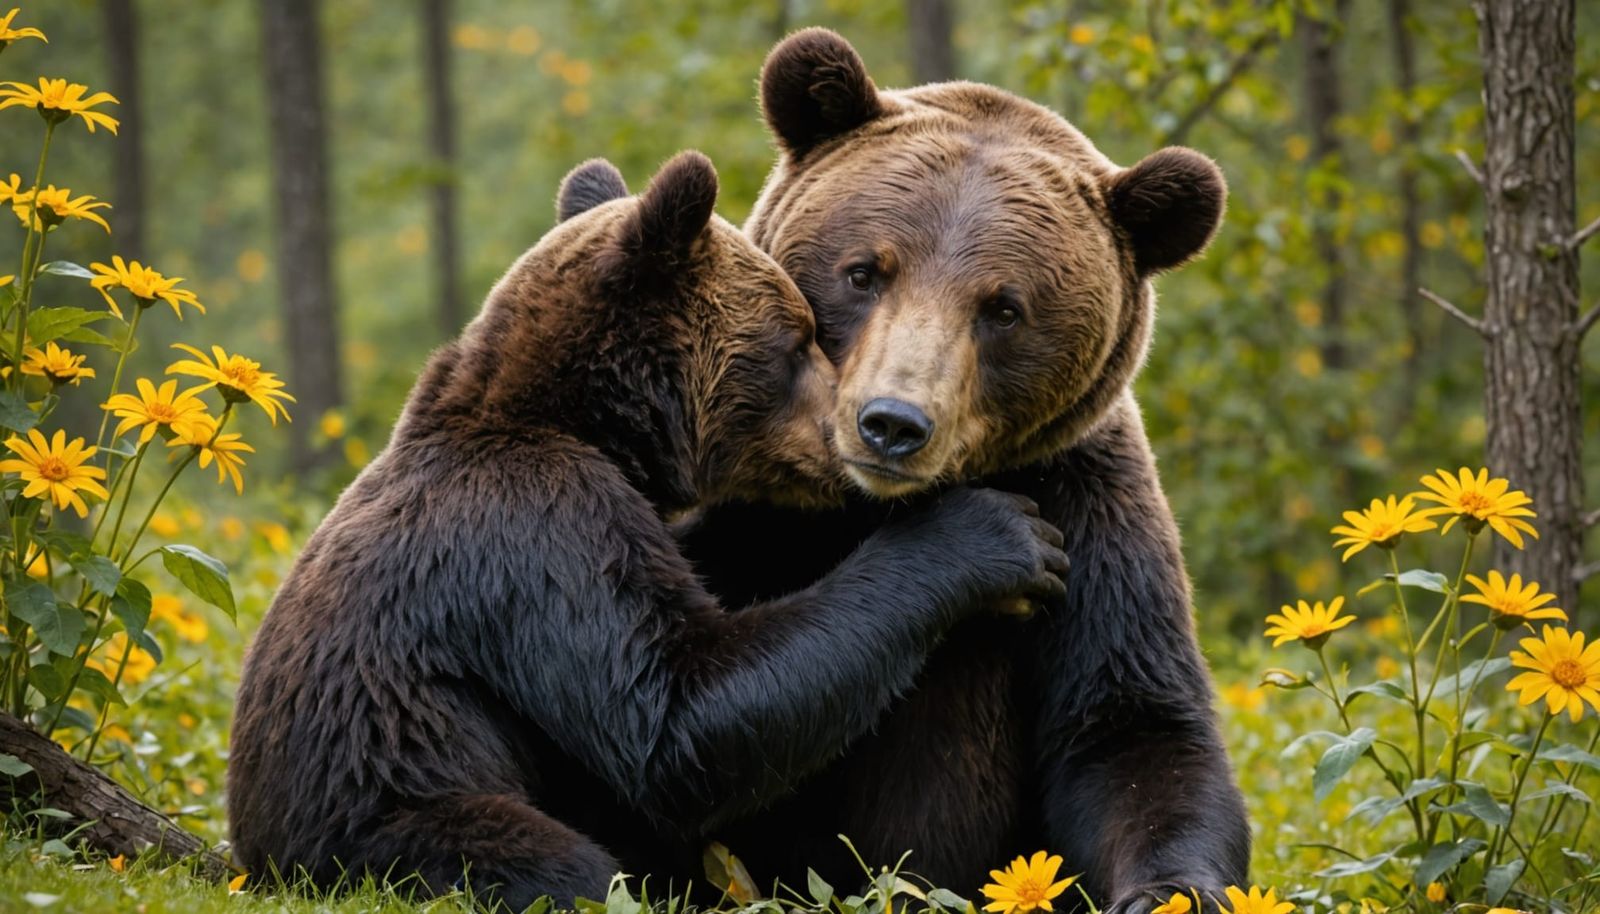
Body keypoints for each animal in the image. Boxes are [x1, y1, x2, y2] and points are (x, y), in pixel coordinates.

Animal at [226, 151, 1071, 910]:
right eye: (799, 340)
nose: (863, 429)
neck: (585, 423)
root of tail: (257, 863)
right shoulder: (540, 530)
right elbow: (675, 712)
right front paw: (1000, 536)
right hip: (390, 816)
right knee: (551, 862)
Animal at [675, 30, 1250, 914]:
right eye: (864, 271)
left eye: (1003, 308)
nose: (892, 424)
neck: (868, 508)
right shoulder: (740, 506)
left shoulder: (1087, 499)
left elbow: (1132, 727)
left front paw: (1167, 890)